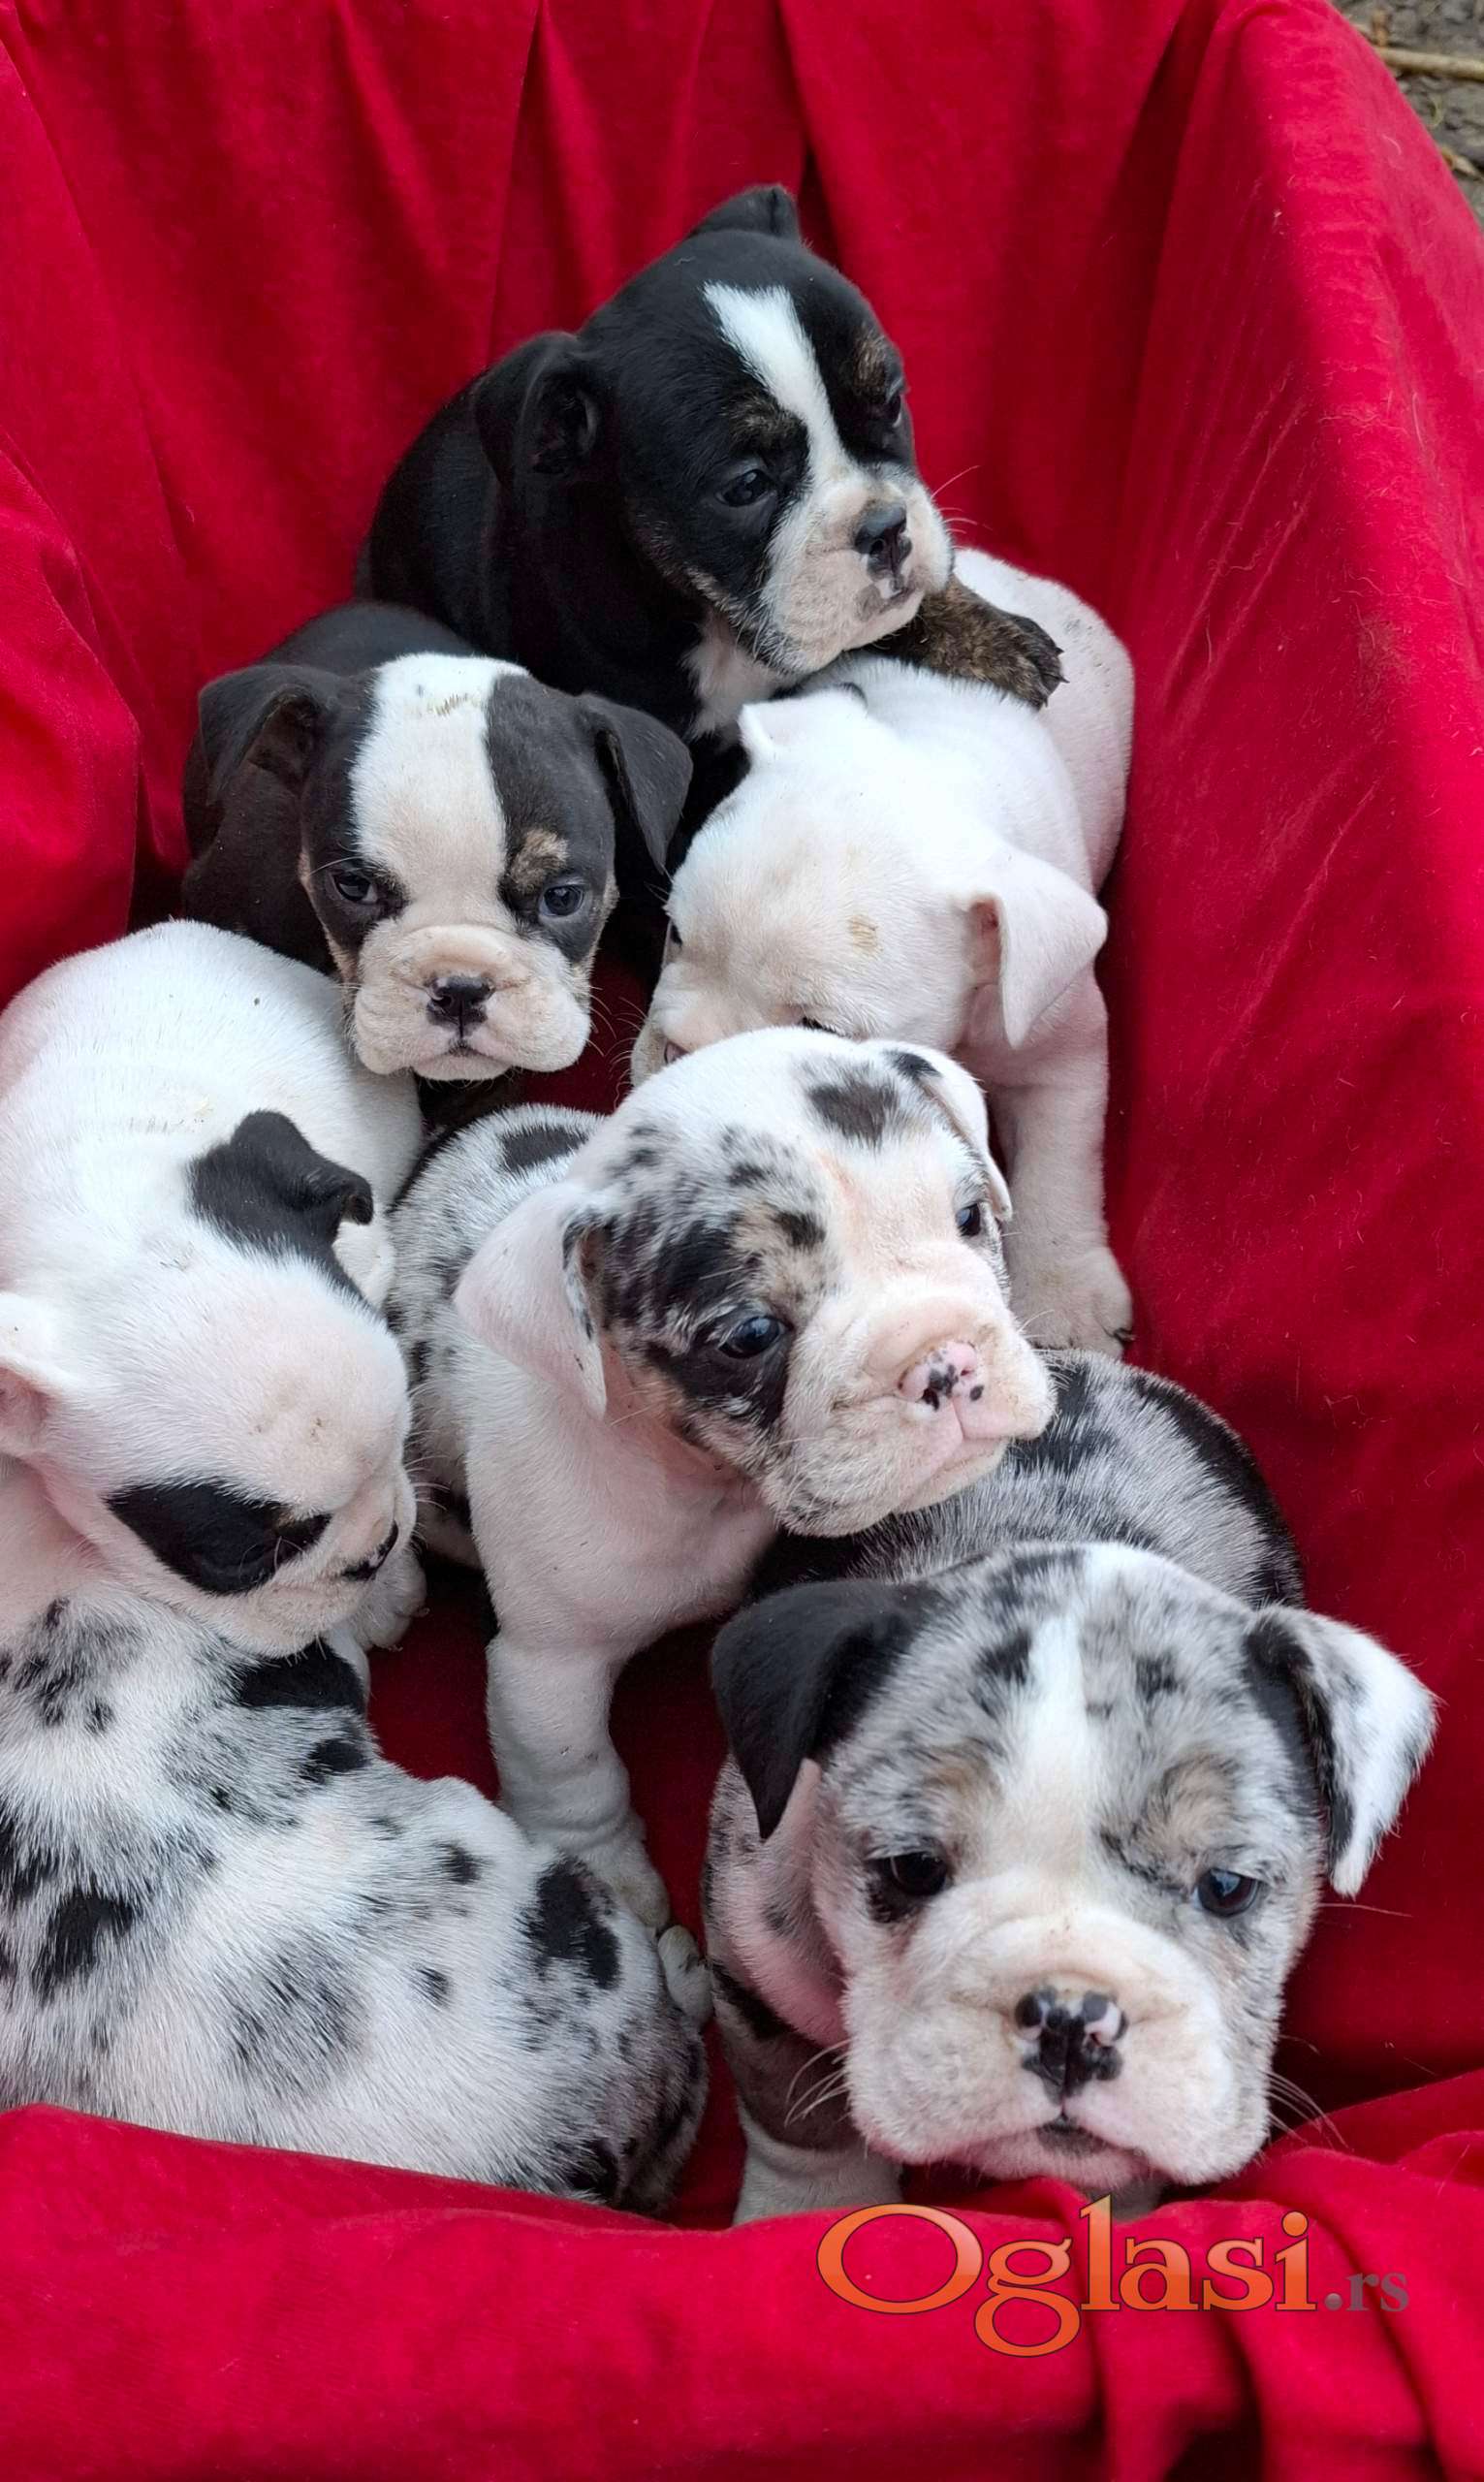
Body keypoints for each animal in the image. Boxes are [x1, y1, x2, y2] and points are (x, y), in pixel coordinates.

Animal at [386, 1035, 1054, 1927]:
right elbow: (572, 1771)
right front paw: (610, 1874)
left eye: (971, 1218)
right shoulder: (547, 1666)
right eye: (751, 1336)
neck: (710, 1483)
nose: (942, 1360)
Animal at [633, 548, 1134, 1353]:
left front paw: (1065, 1293)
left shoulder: (1060, 1034)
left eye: (817, 1029)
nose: (678, 1052)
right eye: (675, 933)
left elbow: (1058, 1159)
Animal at [703, 1354, 1435, 2221]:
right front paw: (807, 2210)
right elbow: (794, 2115)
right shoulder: (751, 1958)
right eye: (912, 1870)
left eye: (1227, 1888)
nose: (1068, 2018)